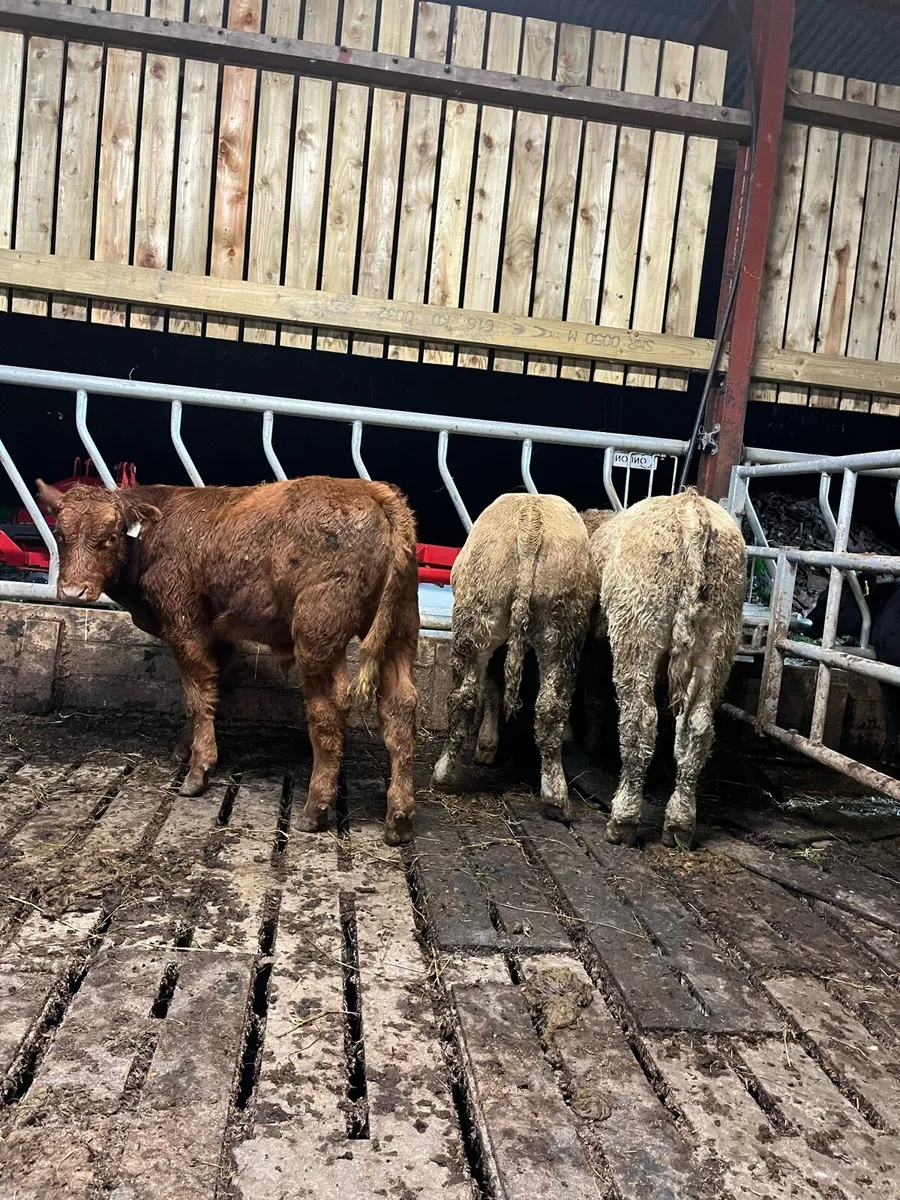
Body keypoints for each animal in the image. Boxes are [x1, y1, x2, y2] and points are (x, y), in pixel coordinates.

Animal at [36, 476, 420, 845]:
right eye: (60, 534)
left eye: (111, 536)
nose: (73, 592)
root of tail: (372, 492)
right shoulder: (218, 635)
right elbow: (206, 691)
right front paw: (185, 748)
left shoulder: (184, 624)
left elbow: (196, 694)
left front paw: (198, 769)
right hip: (400, 632)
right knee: (399, 708)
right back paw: (398, 819)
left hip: (317, 637)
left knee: (328, 710)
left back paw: (315, 808)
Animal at [432, 493, 597, 821]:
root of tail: (530, 519)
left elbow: (492, 688)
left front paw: (486, 746)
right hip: (559, 631)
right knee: (549, 706)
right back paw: (556, 798)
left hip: (478, 621)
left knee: (464, 697)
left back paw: (444, 774)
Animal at [586, 489, 746, 848]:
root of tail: (691, 509)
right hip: (717, 641)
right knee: (697, 727)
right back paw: (680, 824)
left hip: (637, 630)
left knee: (640, 722)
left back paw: (623, 819)